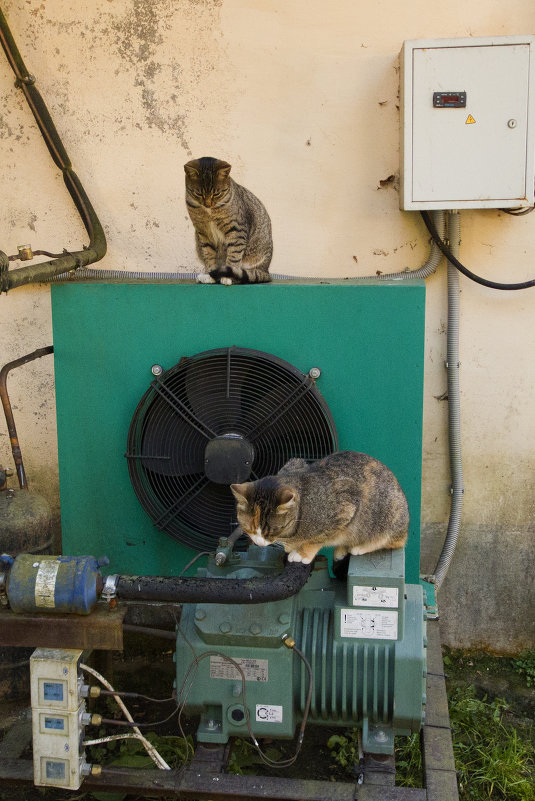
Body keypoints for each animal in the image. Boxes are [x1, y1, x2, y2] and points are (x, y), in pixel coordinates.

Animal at [186, 156, 274, 284]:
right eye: (198, 193)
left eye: (217, 193)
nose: (207, 204)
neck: (209, 213)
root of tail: (266, 270)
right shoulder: (203, 233)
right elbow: (209, 255)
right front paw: (210, 275)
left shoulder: (236, 230)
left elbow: (234, 255)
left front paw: (227, 277)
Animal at [231, 450, 410, 564]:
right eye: (249, 528)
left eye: (272, 531)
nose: (260, 543)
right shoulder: (295, 461)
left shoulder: (345, 507)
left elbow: (318, 538)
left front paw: (303, 553)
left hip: (387, 516)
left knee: (392, 540)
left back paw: (360, 546)